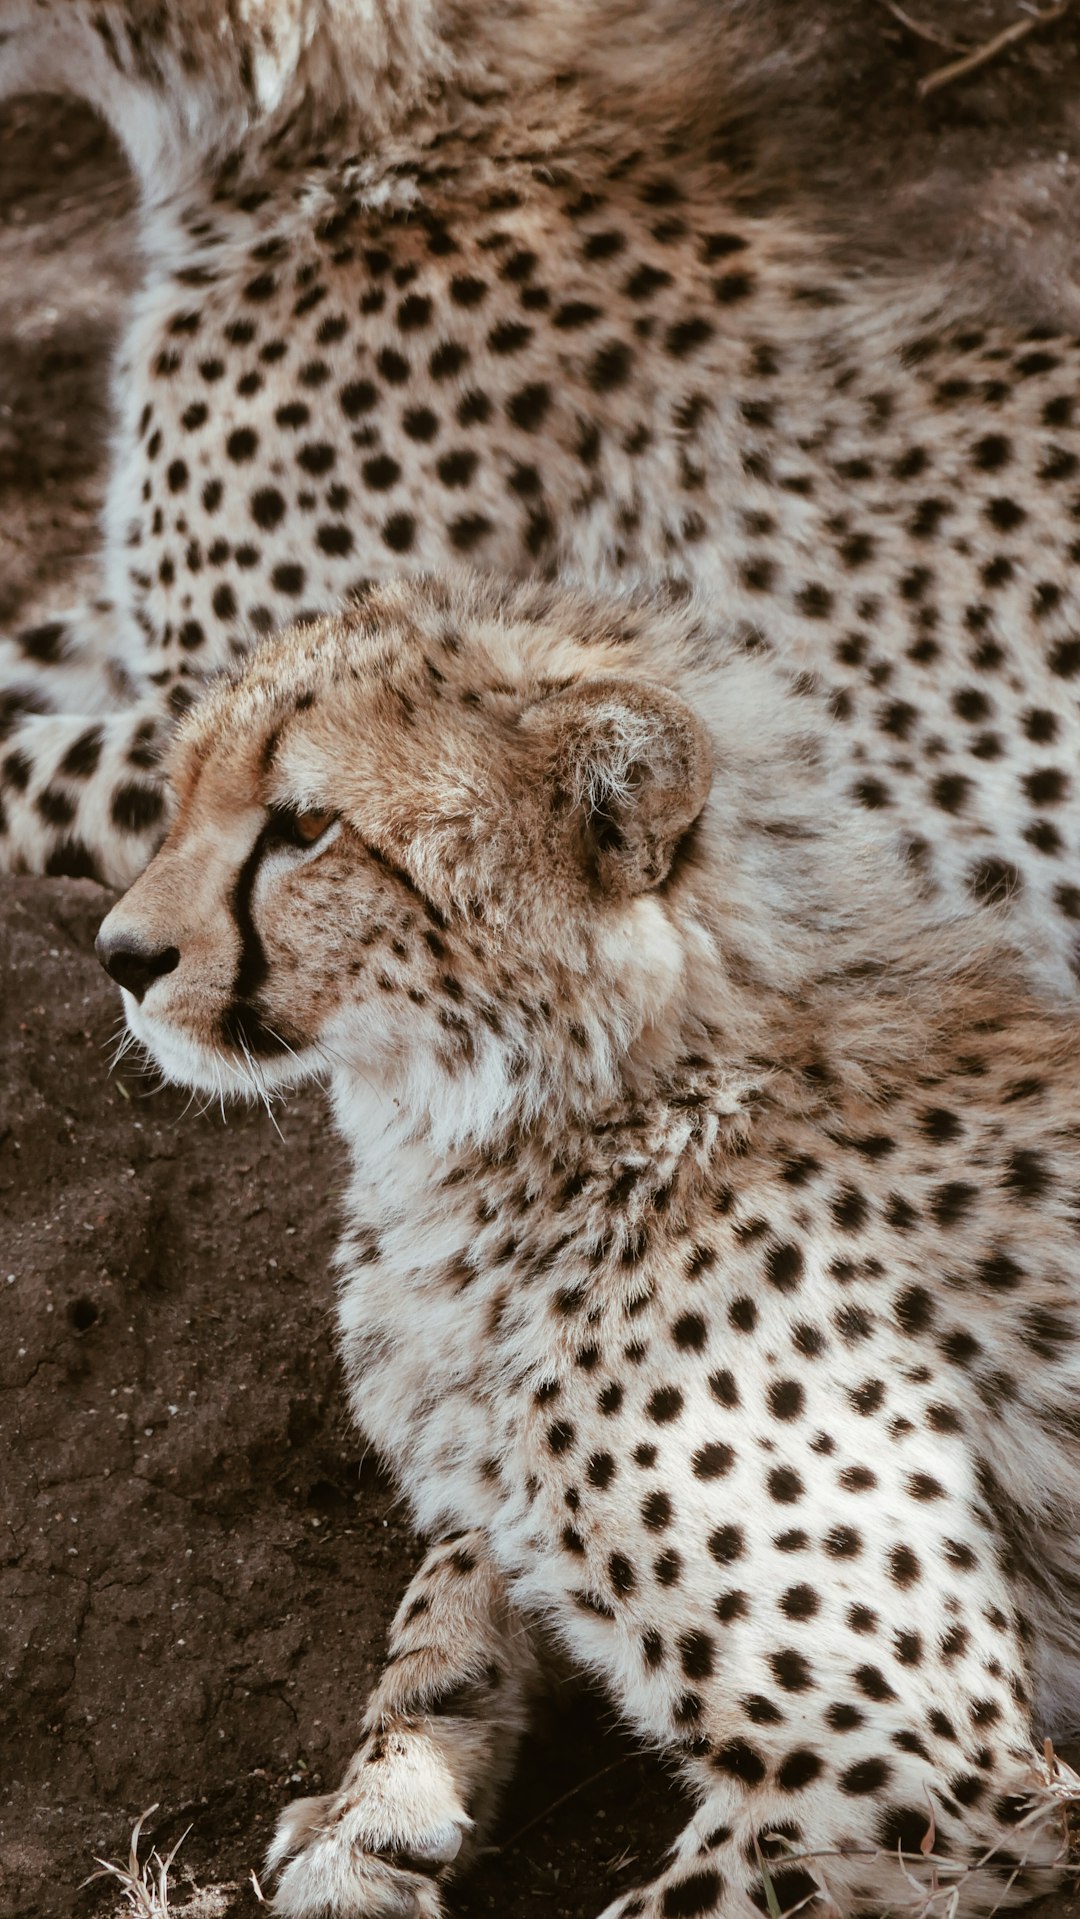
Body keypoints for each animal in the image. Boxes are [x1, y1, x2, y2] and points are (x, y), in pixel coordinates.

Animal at [97, 571, 1080, 1919]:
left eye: (304, 826)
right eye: (183, 789)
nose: (119, 956)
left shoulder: (939, 1763)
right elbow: (455, 1565)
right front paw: (373, 1807)